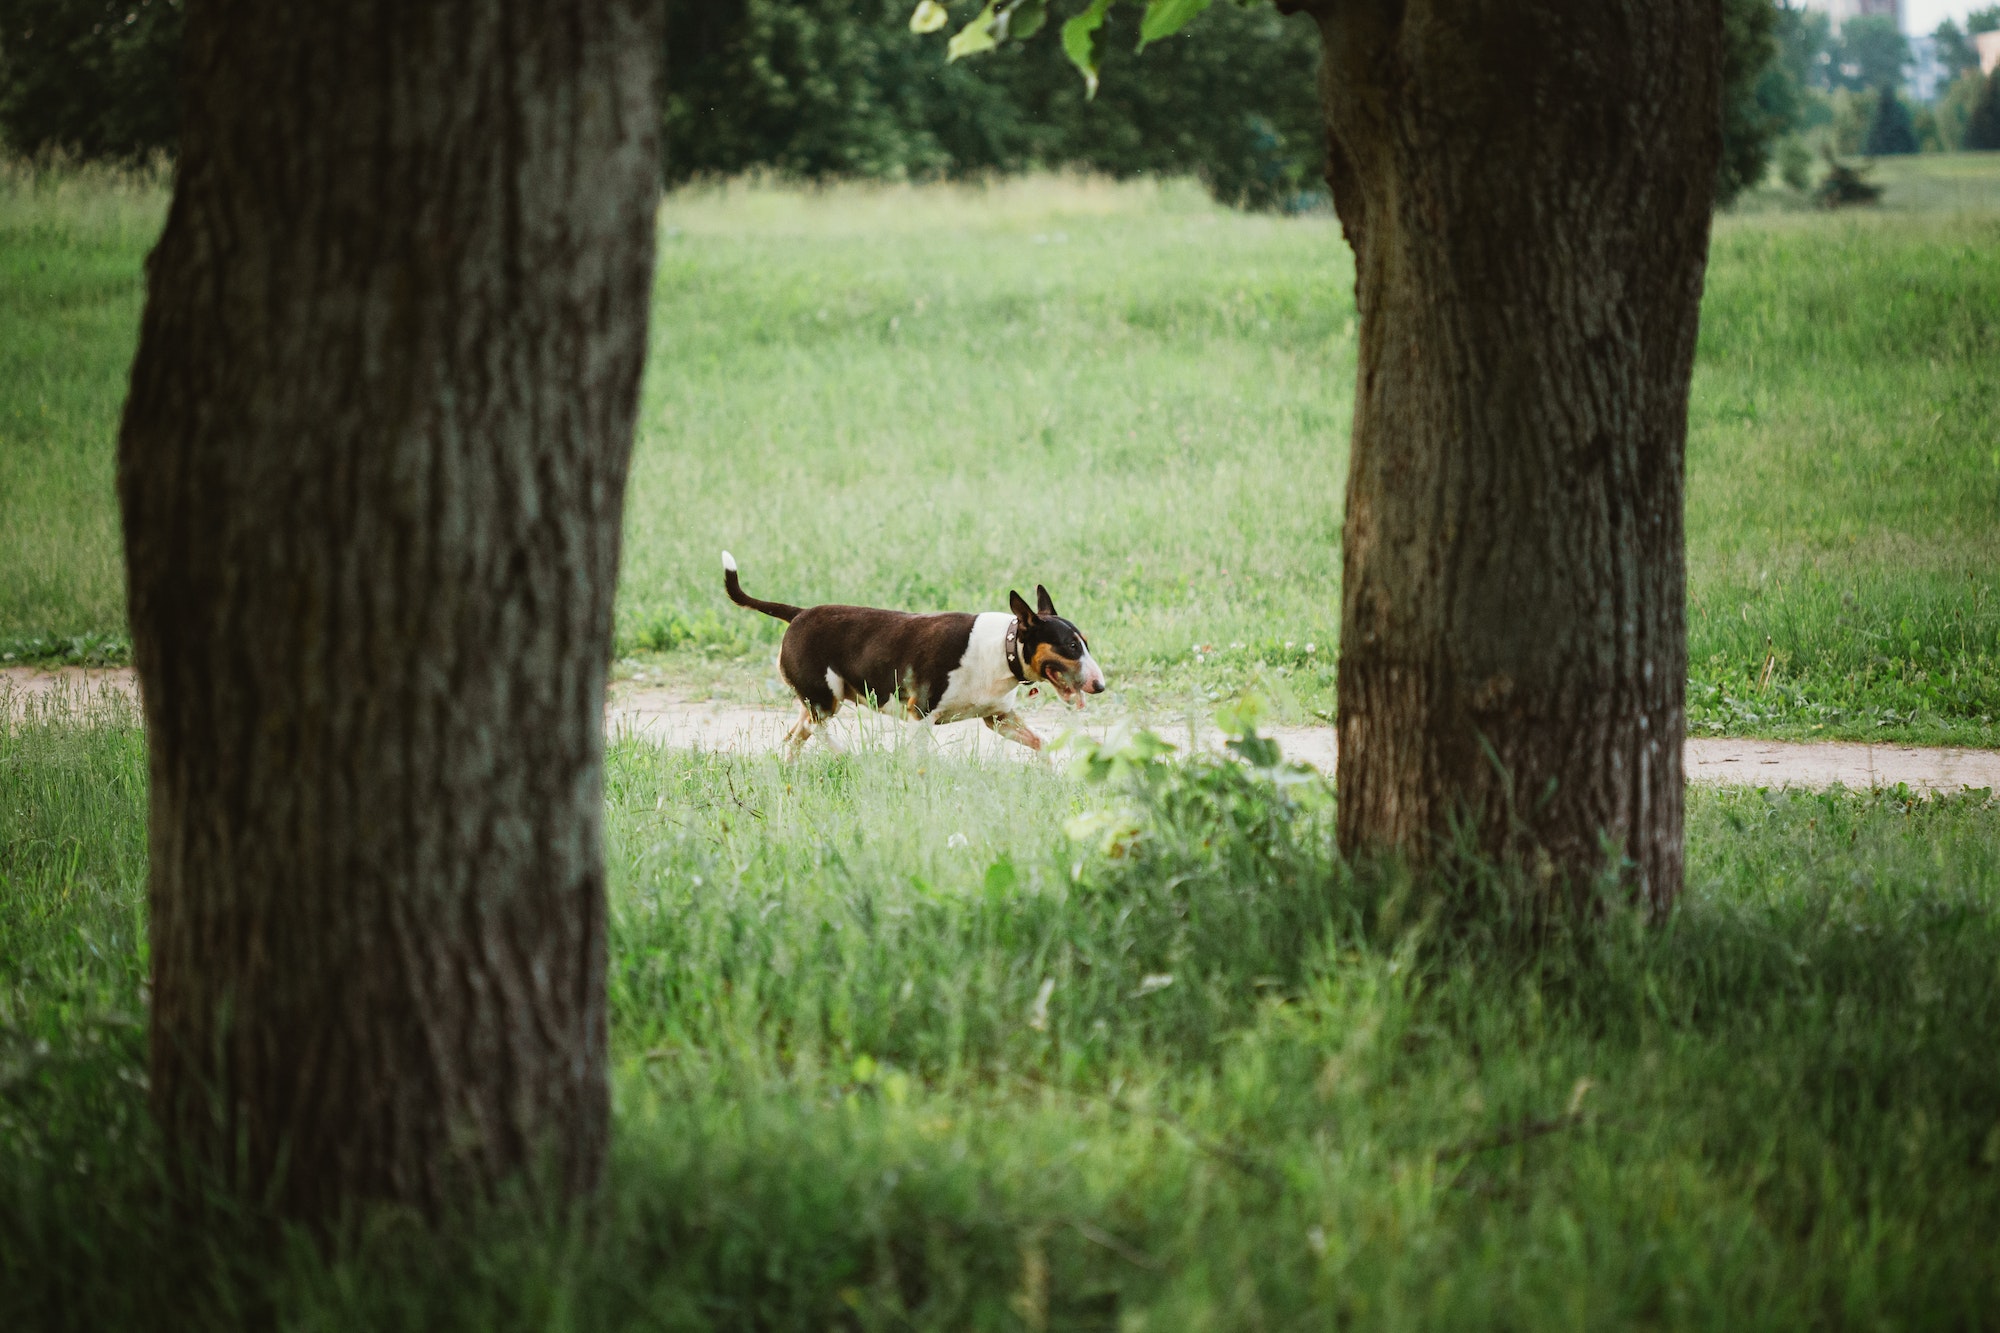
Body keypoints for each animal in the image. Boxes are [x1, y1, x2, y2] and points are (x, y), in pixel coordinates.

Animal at [724, 552, 1112, 756]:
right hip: (824, 698)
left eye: (1085, 643)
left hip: (816, 701)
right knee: (816, 729)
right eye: (1071, 646)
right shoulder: (920, 716)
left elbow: (1041, 744)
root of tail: (799, 613)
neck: (1003, 650)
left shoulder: (1000, 719)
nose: (1100, 686)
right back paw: (844, 754)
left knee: (794, 737)